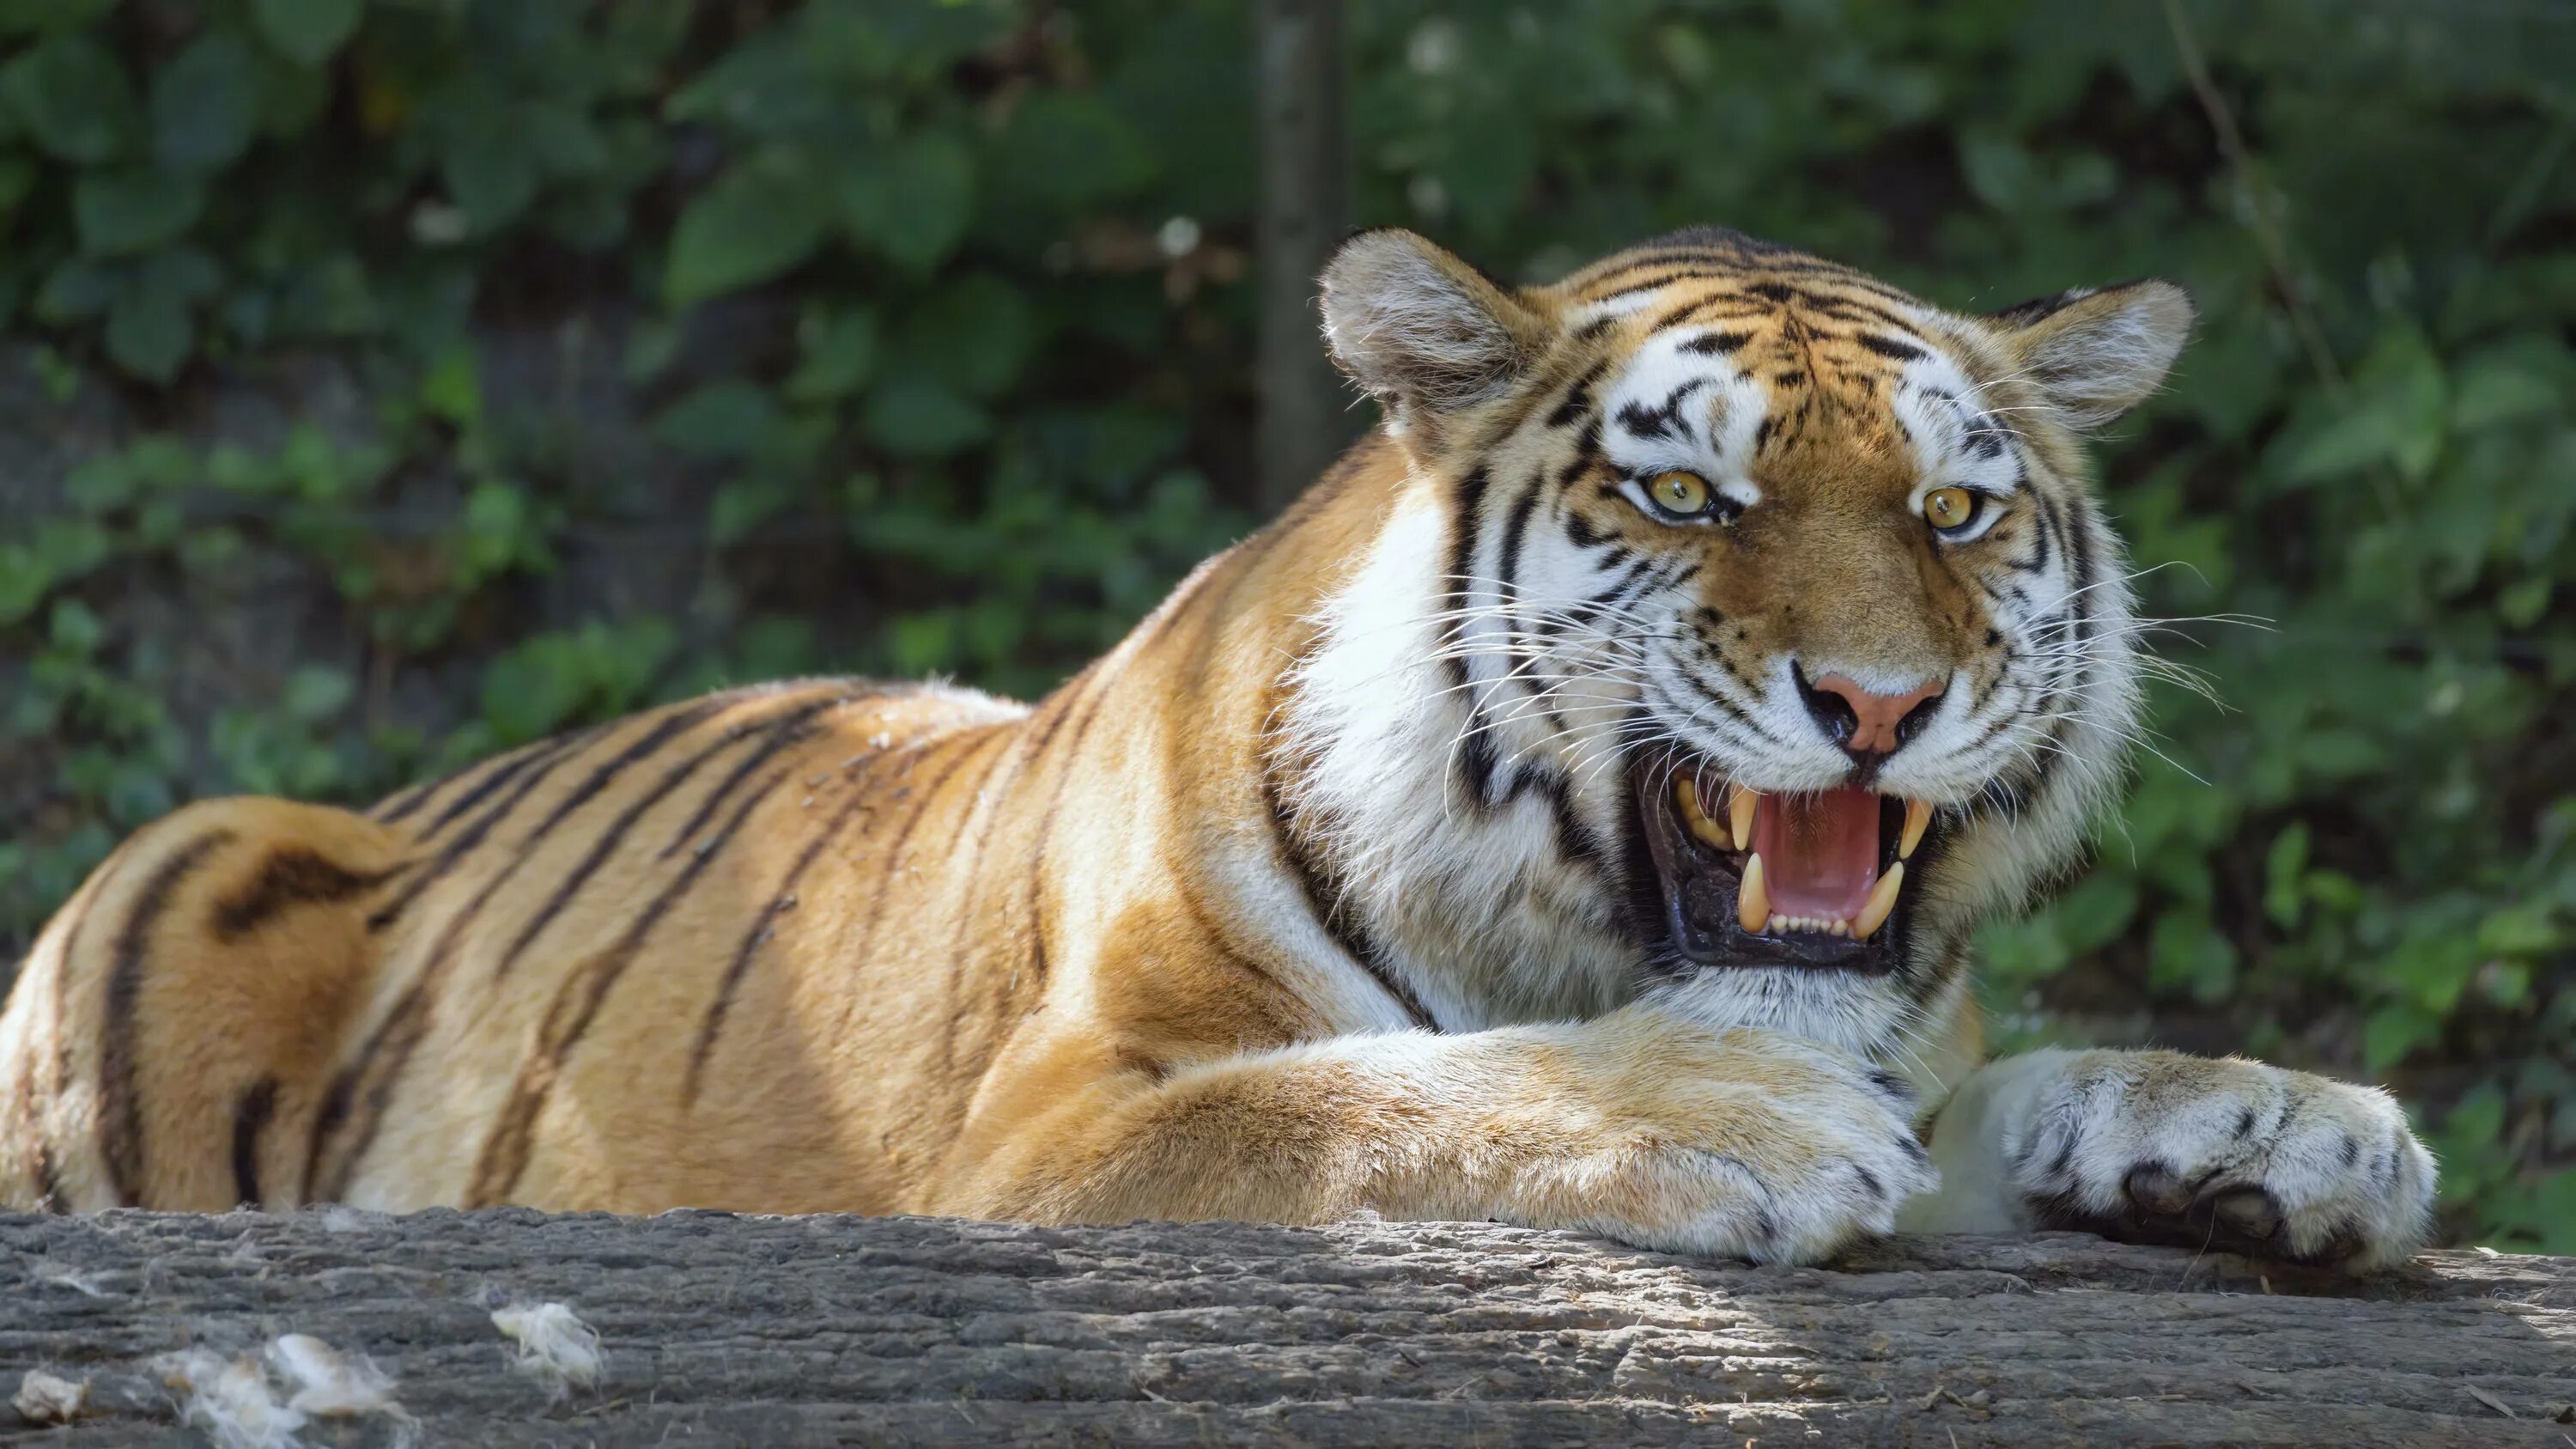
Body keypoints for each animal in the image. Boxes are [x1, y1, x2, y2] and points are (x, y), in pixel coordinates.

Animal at [0, 225, 2432, 1263]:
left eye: (1951, 513)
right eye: (1687, 498)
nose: (1882, 707)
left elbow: (2024, 1076)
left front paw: (2274, 1121)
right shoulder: (1048, 1133)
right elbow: (1362, 1095)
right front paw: (1724, 1122)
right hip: (181, 864)